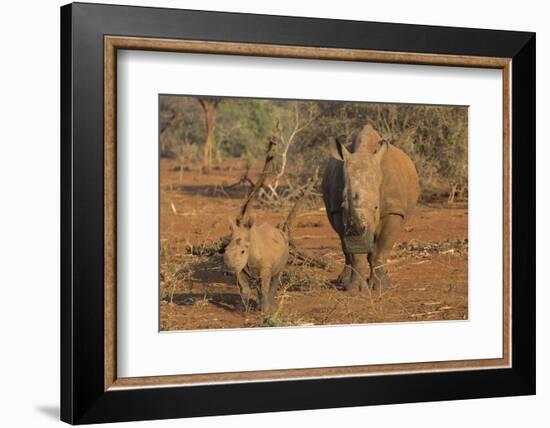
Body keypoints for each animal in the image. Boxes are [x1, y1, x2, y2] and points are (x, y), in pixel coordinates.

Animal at [322, 123, 420, 290]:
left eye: (376, 207)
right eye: (343, 206)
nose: (358, 244)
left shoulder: (393, 210)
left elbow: (382, 249)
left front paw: (382, 287)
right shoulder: (337, 212)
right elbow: (354, 254)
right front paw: (355, 289)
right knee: (345, 248)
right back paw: (343, 281)